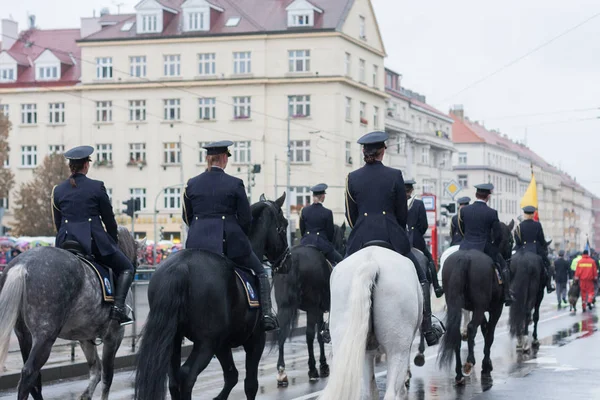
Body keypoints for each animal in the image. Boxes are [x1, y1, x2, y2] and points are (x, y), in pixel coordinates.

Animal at [0, 227, 140, 398]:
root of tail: (23, 264)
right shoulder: (114, 336)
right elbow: (107, 376)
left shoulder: (85, 337)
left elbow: (96, 370)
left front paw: (85, 396)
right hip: (45, 336)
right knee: (29, 372)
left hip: (23, 335)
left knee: (34, 378)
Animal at [135, 194, 290, 400]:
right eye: (285, 225)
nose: (287, 261)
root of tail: (180, 267)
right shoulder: (255, 341)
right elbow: (250, 384)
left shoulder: (222, 344)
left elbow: (232, 376)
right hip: (205, 343)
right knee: (186, 375)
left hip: (174, 339)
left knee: (174, 379)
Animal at [274, 222, 344, 384]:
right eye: (344, 240)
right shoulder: (317, 309)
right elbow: (318, 335)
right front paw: (323, 365)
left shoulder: (317, 309)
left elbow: (320, 335)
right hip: (311, 308)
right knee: (309, 335)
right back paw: (312, 369)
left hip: (284, 307)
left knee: (282, 334)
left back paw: (282, 372)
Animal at [436, 220, 516, 382]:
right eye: (511, 241)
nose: (509, 261)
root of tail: (465, 258)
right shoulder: (494, 308)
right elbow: (489, 334)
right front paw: (486, 365)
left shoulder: (477, 308)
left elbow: (485, 330)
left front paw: (487, 363)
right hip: (480, 306)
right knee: (472, 327)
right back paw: (469, 362)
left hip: (456, 304)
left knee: (456, 332)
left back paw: (459, 373)